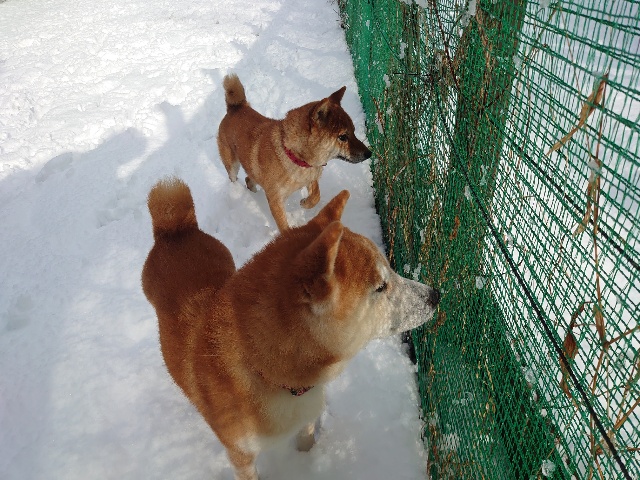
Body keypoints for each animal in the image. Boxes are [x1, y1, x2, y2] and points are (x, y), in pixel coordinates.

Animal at [141, 178, 440, 480]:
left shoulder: (306, 415)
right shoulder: (241, 454)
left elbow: (306, 439)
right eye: (380, 286)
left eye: (391, 270)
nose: (435, 295)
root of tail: (175, 231)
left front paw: (307, 464)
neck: (267, 373)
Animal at [217, 74, 372, 231]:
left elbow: (317, 195)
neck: (293, 155)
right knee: (234, 177)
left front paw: (305, 203)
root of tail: (236, 107)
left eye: (353, 131)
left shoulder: (311, 176)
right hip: (232, 164)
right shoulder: (276, 200)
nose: (369, 154)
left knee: (249, 179)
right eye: (343, 137)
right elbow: (284, 227)